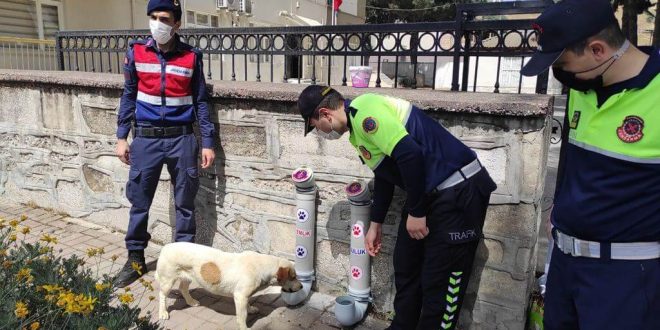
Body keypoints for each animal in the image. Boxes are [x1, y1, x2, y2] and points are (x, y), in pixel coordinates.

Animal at [155, 241, 302, 328]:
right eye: (293, 277)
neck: (261, 266)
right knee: (162, 295)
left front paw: (251, 308)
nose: (301, 287)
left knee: (183, 288)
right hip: (168, 281)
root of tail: (165, 247)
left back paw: (191, 302)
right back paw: (163, 312)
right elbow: (242, 317)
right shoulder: (240, 297)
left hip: (187, 277)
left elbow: (248, 305)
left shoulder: (244, 296)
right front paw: (244, 327)